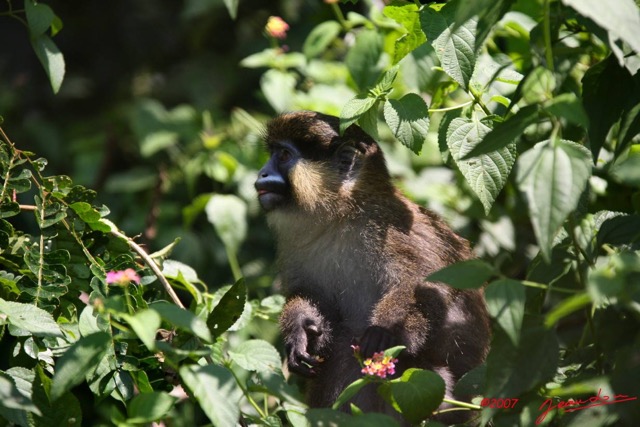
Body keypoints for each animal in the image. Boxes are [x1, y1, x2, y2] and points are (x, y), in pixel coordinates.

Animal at [254, 110, 490, 424]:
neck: (340, 215)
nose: (261, 174)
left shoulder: (390, 227)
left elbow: (431, 285)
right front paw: (300, 327)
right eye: (272, 153)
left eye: (283, 155)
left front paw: (385, 330)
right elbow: (311, 296)